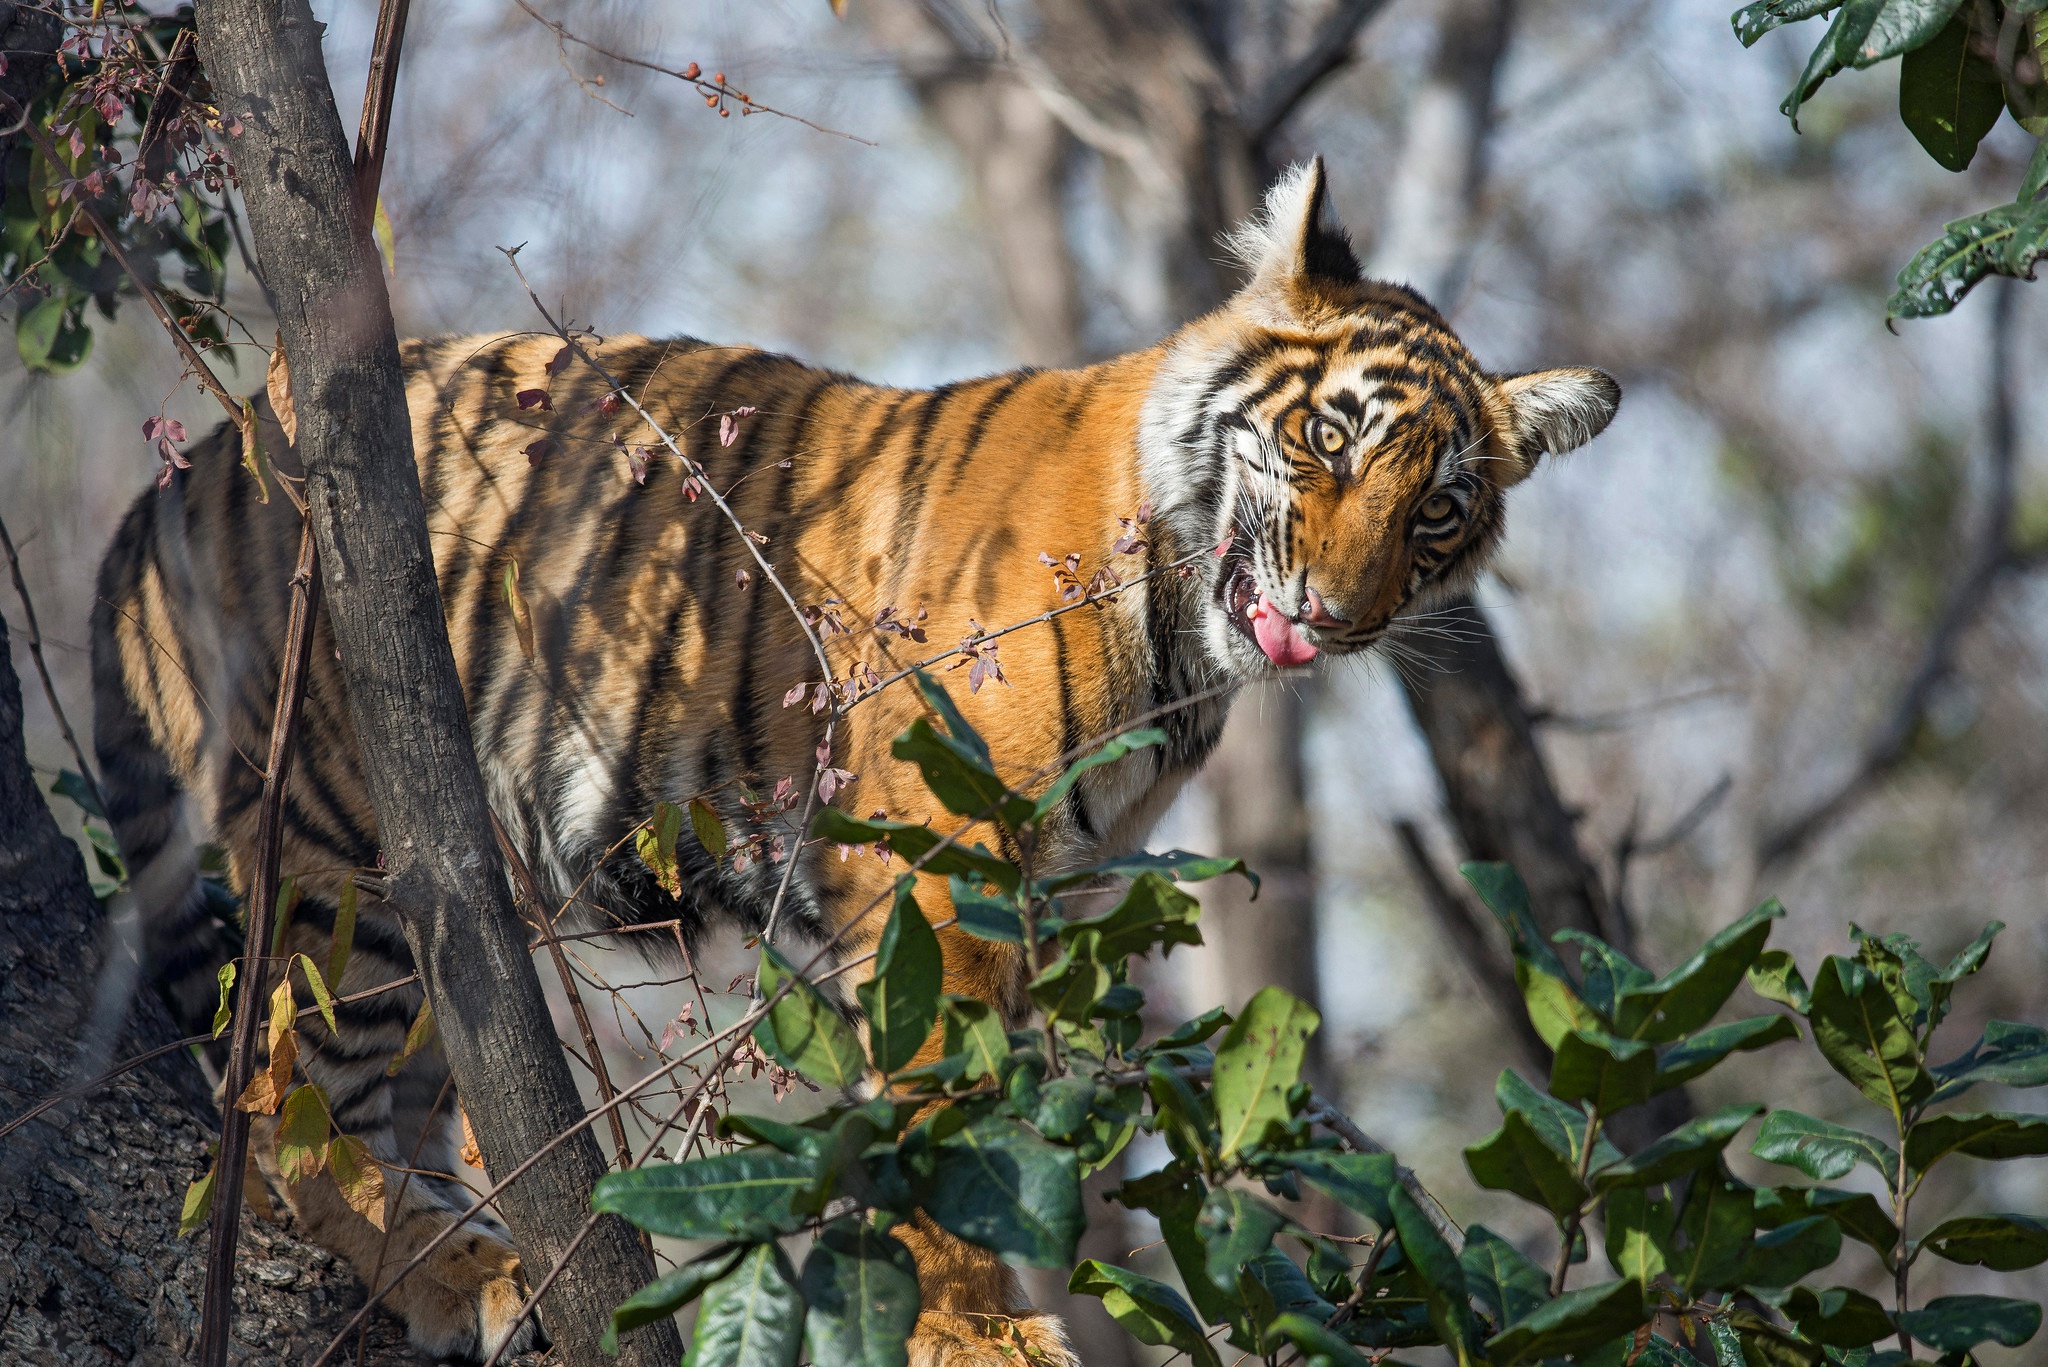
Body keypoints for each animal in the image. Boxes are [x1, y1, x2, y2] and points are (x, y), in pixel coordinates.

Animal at [92, 162, 1613, 1367]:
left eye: (1439, 513)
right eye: (1326, 437)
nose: (1340, 614)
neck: (1188, 650)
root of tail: (178, 476)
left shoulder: (1049, 880)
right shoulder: (941, 857)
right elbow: (947, 1103)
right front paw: (976, 1326)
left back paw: (494, 1254)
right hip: (349, 858)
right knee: (279, 1117)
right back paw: (470, 1271)